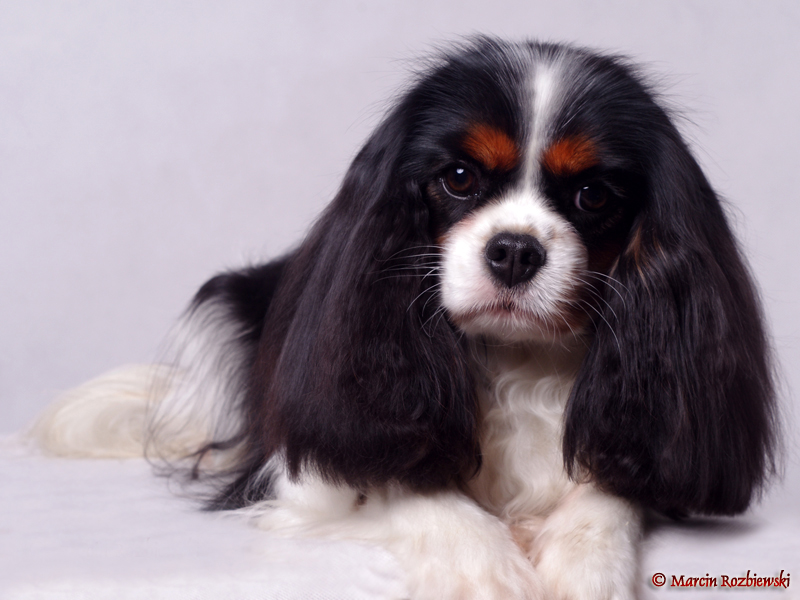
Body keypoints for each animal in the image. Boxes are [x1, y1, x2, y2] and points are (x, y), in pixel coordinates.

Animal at [34, 37, 778, 599]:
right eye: (458, 178)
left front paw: (583, 566)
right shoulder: (315, 468)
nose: (515, 249)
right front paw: (486, 571)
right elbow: (404, 475)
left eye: (593, 195)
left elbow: (610, 492)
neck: (513, 355)